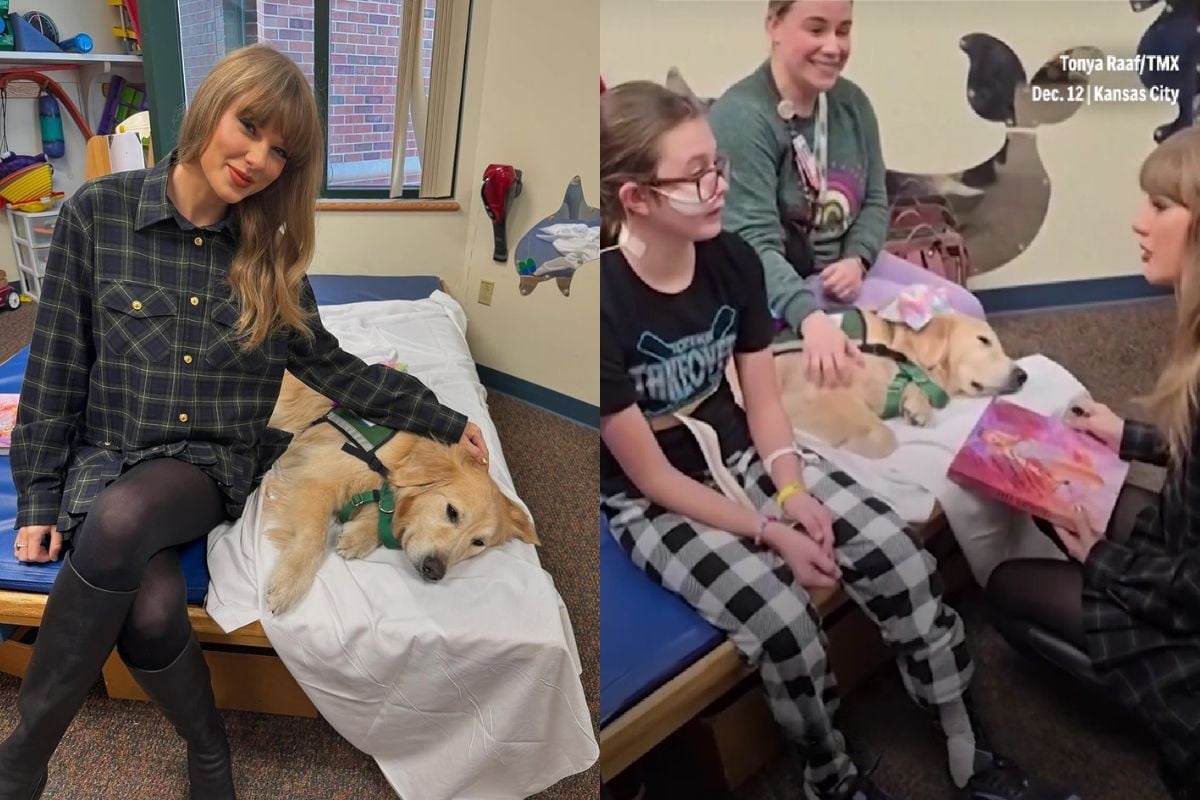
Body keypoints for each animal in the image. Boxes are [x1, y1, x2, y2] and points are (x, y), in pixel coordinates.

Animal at [265, 371, 542, 618]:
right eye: (452, 512)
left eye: (479, 543)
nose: (434, 570)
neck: (402, 458)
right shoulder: (317, 478)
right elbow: (314, 536)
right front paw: (289, 583)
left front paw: (358, 536)